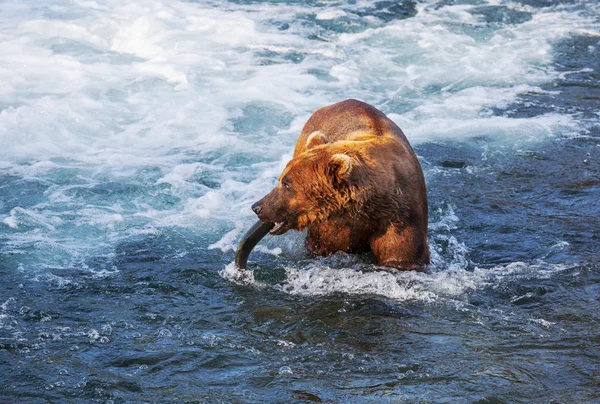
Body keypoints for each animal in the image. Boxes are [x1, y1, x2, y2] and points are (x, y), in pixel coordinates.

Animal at [237, 99, 428, 270]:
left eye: (286, 184)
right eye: (281, 179)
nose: (257, 207)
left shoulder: (401, 218)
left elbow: (400, 255)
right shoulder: (335, 225)